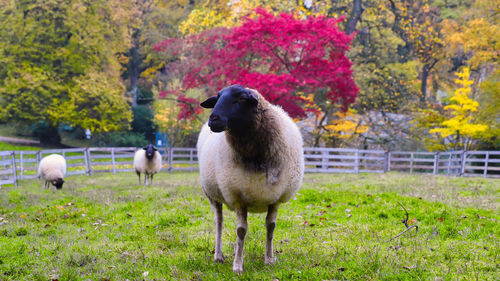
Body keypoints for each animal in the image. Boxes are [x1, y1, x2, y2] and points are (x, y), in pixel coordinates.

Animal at [197, 84, 302, 272]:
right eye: (217, 99)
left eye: (240, 99)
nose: (213, 119)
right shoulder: (238, 196)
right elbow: (241, 230)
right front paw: (238, 265)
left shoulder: (275, 197)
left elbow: (271, 227)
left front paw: (269, 259)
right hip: (212, 194)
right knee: (219, 222)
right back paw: (218, 256)